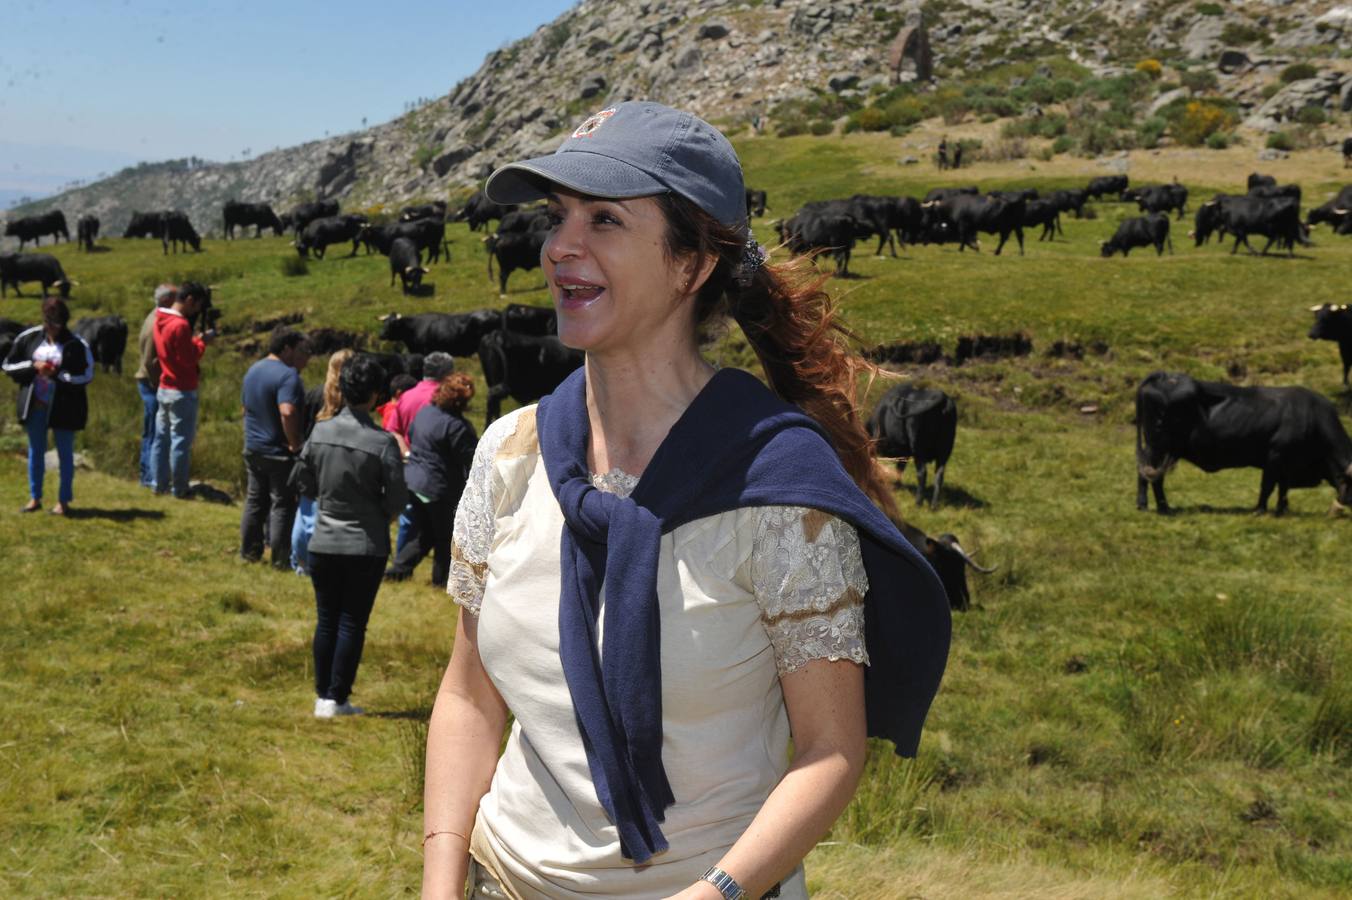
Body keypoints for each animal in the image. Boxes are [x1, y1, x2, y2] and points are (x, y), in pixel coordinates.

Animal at [1130, 370, 1352, 510]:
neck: (1311, 416)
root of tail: (1164, 375)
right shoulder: (1275, 456)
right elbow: (1268, 486)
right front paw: (1260, 510)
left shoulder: (1286, 464)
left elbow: (1283, 487)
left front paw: (1282, 509)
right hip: (1159, 447)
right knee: (1152, 475)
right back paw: (1161, 507)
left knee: (1146, 473)